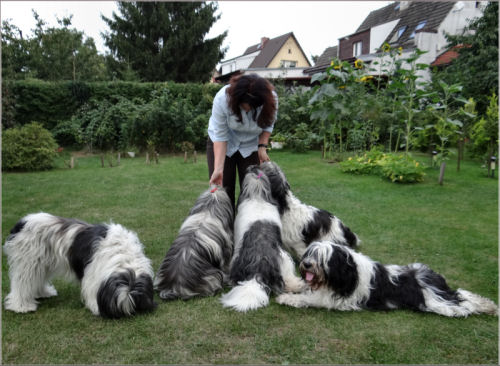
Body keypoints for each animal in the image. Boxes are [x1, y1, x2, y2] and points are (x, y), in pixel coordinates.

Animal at [3, 212, 156, 318]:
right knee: (22, 283)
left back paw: (43, 293)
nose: (127, 314)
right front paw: (95, 306)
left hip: (42, 263)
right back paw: (21, 306)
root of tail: (22, 223)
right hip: (28, 262)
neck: (123, 257)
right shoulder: (93, 273)